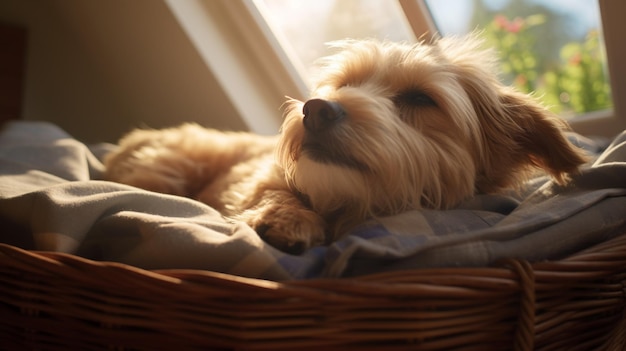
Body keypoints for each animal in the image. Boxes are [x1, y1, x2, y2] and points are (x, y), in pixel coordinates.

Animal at [103, 35, 584, 254]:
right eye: (344, 85)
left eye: (420, 99)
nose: (314, 109)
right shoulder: (261, 174)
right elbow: (270, 190)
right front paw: (287, 219)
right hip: (167, 167)